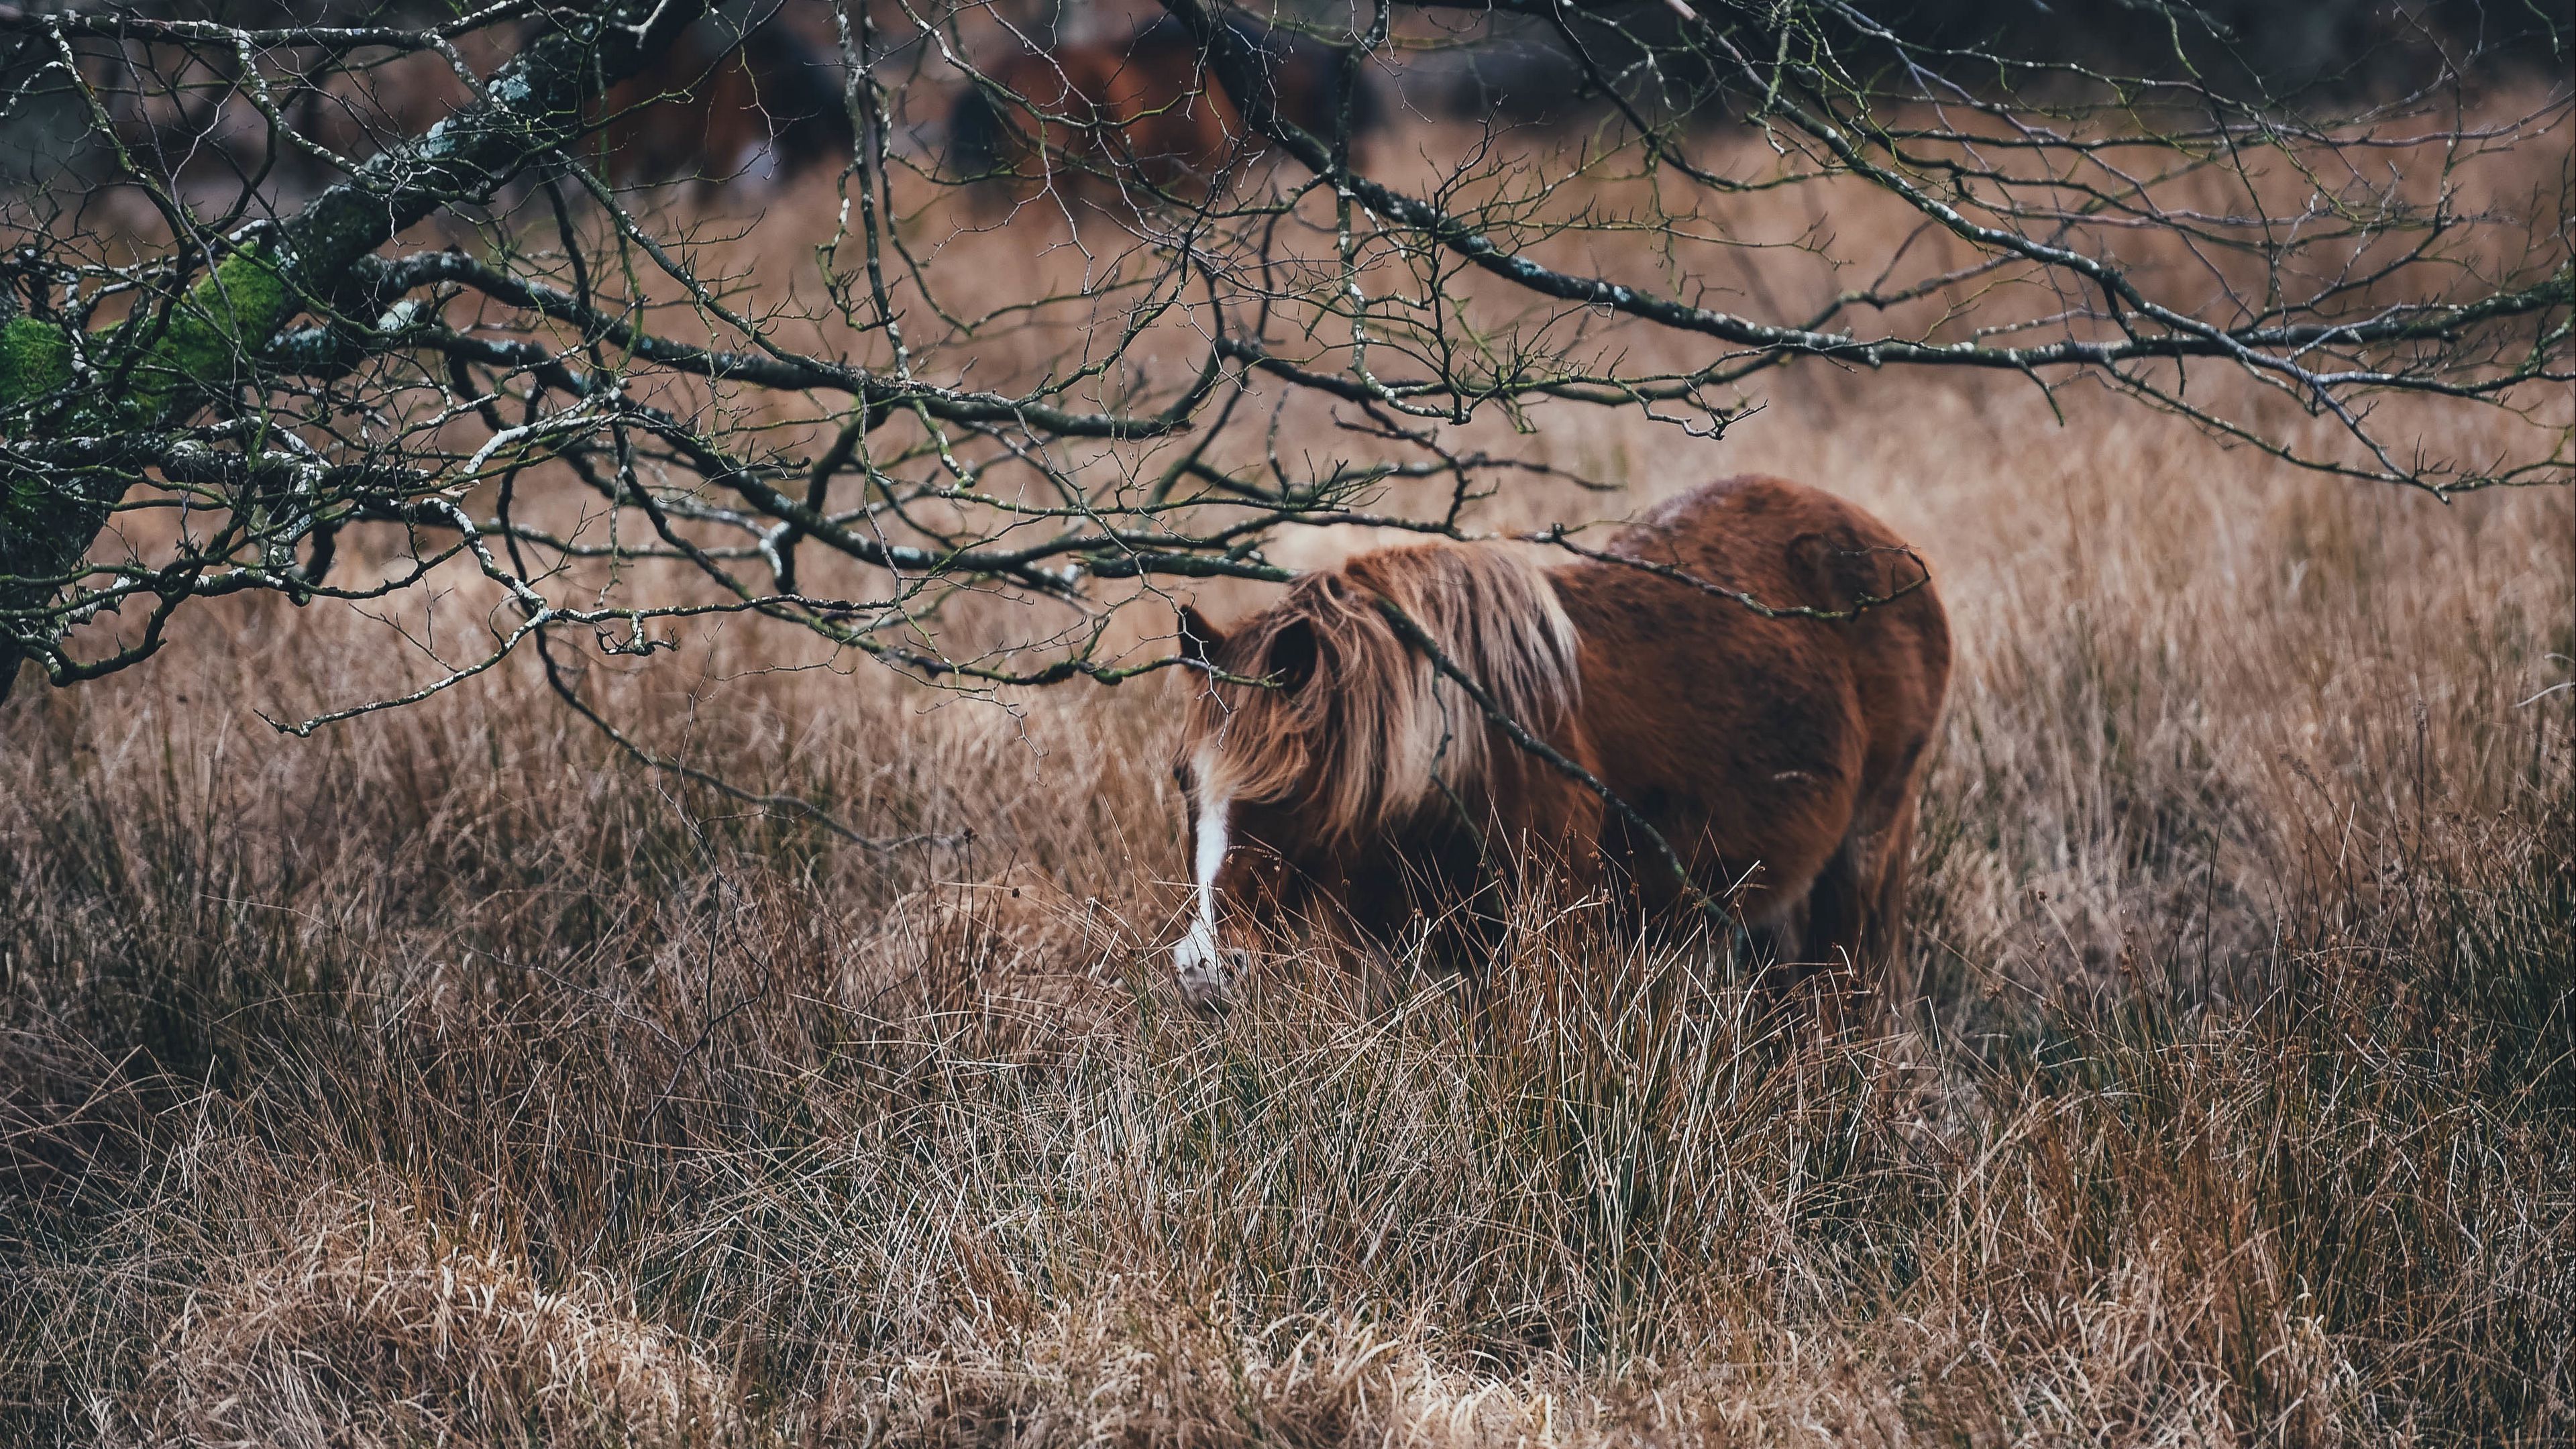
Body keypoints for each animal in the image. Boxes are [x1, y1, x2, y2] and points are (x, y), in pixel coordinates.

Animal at [1168, 475, 1952, 1019]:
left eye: (1286, 790)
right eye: (1182, 780)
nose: (1206, 969)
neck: (1458, 756)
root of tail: (1897, 557)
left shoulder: (1552, 942)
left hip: (1866, 850)